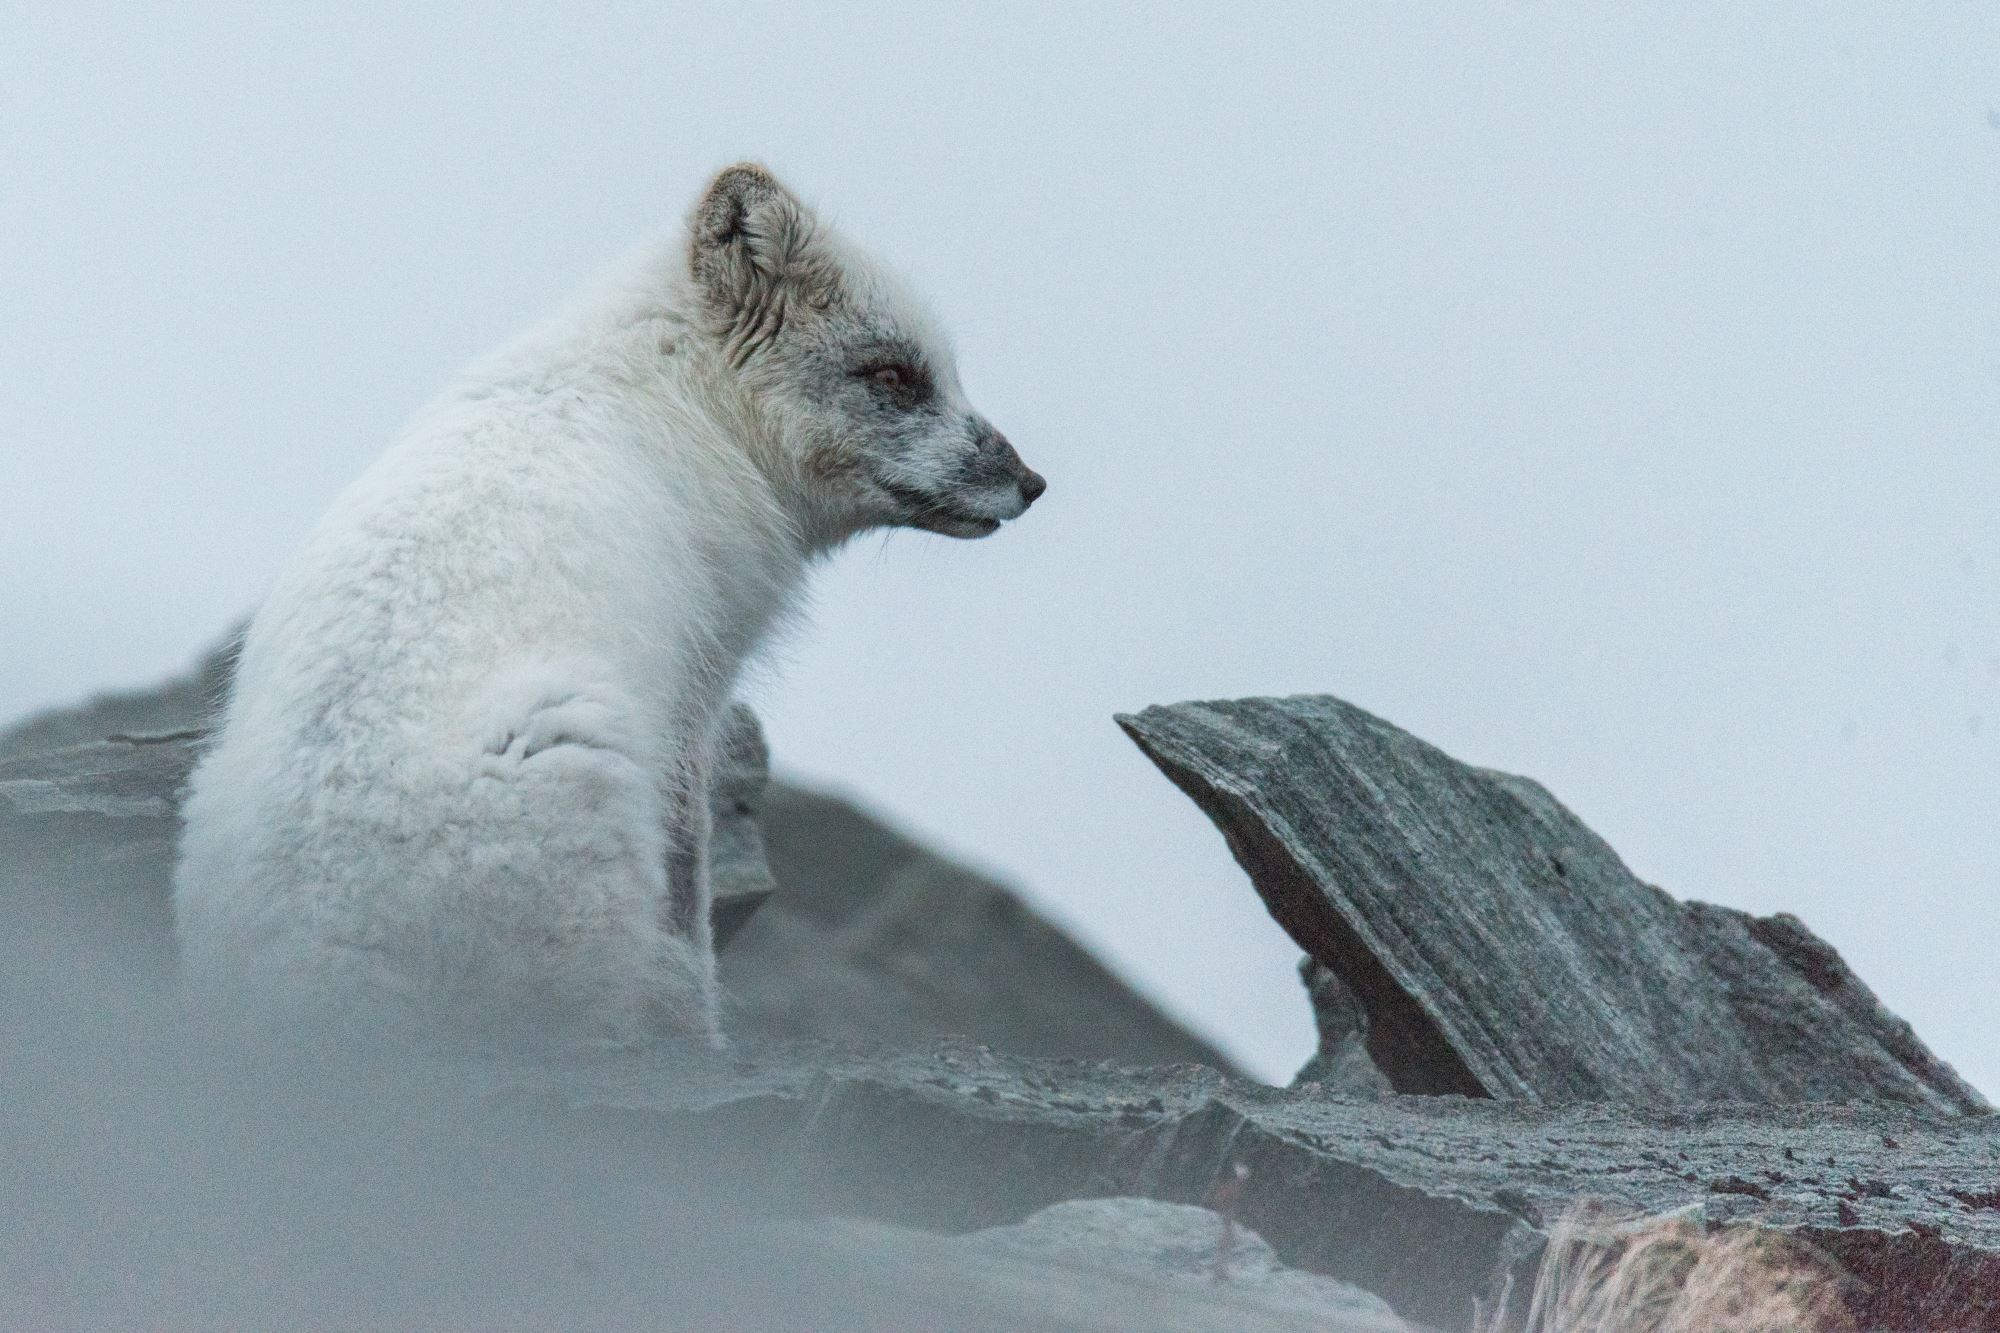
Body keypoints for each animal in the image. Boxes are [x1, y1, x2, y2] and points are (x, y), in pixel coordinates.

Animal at [172, 163, 1044, 1047]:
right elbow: (688, 893)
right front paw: (698, 1032)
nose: (1032, 484)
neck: (680, 398)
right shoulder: (694, 698)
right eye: (894, 377)